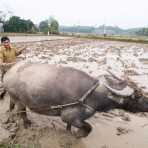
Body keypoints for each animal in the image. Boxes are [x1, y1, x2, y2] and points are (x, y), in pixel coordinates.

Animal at [2, 61, 148, 138]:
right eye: (137, 96)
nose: (147, 104)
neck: (92, 95)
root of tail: (9, 71)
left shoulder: (73, 117)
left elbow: (69, 126)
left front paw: (68, 133)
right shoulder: (69, 116)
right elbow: (88, 128)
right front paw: (78, 135)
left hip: (13, 98)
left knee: (12, 106)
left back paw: (9, 116)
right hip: (20, 100)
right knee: (21, 113)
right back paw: (27, 124)